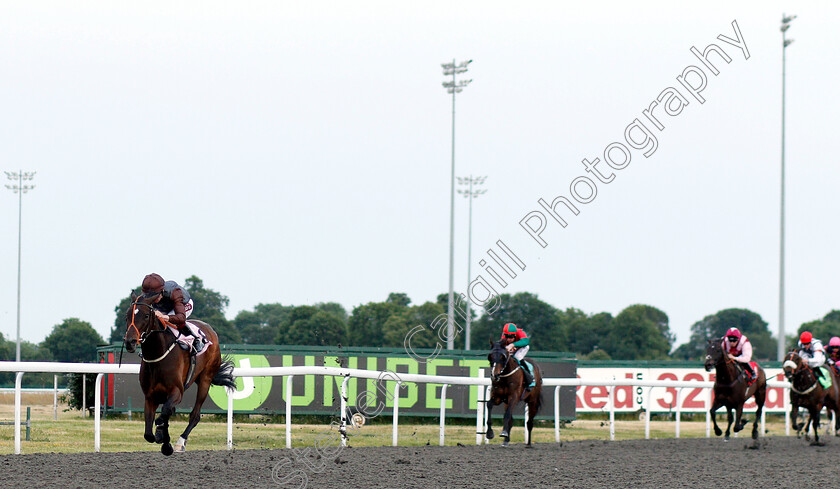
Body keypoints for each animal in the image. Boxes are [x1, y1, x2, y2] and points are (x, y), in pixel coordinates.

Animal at [122, 290, 233, 454]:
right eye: (127, 315)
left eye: (146, 315)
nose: (130, 341)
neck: (157, 356)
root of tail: (210, 329)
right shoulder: (150, 397)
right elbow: (149, 433)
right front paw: (162, 438)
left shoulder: (176, 392)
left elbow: (163, 415)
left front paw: (164, 439)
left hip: (205, 380)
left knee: (195, 415)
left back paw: (180, 442)